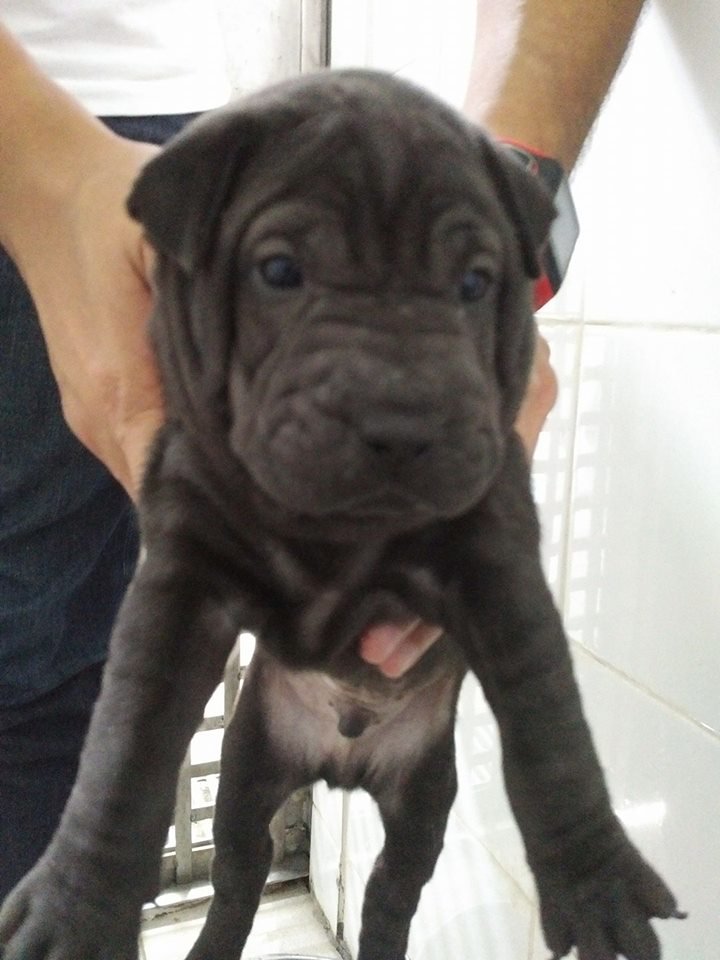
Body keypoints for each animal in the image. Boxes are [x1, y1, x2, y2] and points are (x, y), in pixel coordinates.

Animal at [0, 69, 680, 960]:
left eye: (474, 284)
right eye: (280, 270)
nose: (402, 420)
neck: (338, 533)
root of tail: (342, 765)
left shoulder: (497, 564)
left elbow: (553, 733)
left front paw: (598, 883)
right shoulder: (180, 582)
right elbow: (123, 751)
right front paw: (73, 911)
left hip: (424, 795)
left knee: (393, 890)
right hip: (250, 766)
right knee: (239, 874)